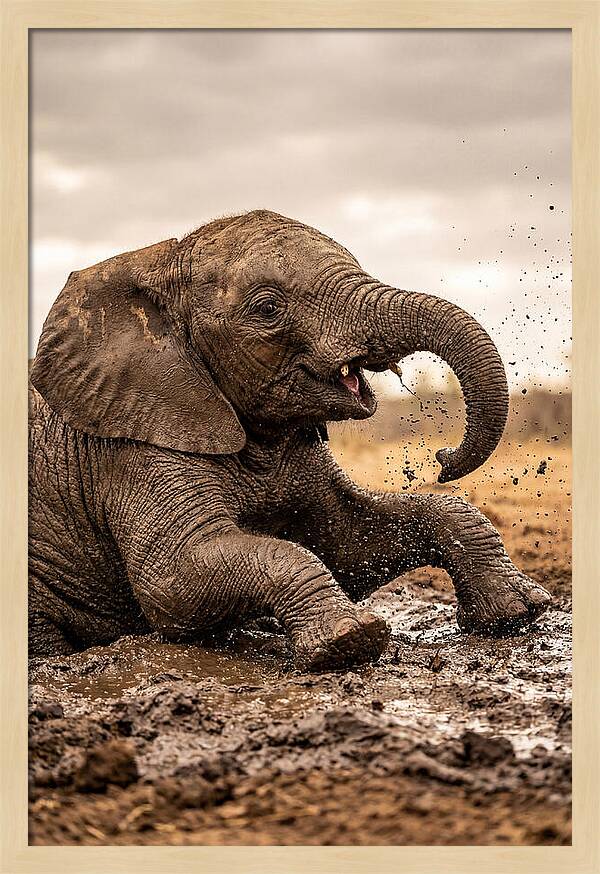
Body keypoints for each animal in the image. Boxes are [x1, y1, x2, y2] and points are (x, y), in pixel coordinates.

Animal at [29, 209, 551, 670]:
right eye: (267, 309)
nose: (442, 459)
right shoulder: (133, 447)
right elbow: (173, 582)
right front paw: (349, 641)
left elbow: (349, 543)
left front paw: (518, 612)